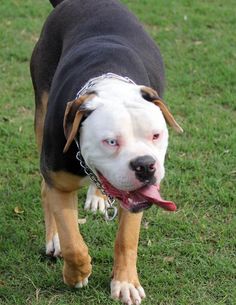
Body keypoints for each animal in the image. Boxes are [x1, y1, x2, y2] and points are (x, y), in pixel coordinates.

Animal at [30, 0, 183, 304]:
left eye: (156, 135)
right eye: (110, 142)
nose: (145, 165)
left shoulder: (138, 199)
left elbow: (126, 239)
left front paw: (125, 282)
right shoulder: (60, 183)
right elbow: (73, 243)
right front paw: (75, 274)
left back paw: (99, 195)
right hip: (41, 113)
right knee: (44, 189)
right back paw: (54, 239)